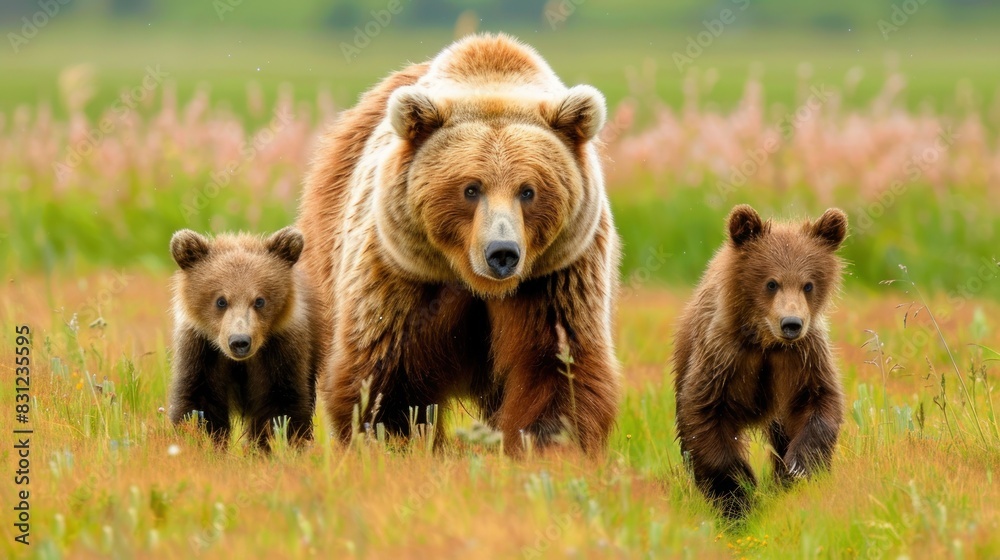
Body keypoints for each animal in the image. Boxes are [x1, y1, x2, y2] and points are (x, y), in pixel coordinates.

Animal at [167, 226, 320, 451]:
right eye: (221, 301)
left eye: (259, 300)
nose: (240, 342)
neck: (240, 363)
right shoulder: (201, 351)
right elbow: (198, 404)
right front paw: (200, 441)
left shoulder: (281, 351)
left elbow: (281, 406)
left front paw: (274, 445)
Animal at [296, 33, 621, 455]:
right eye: (470, 188)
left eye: (528, 190)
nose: (502, 253)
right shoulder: (402, 273)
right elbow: (387, 371)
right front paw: (394, 441)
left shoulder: (558, 276)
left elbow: (557, 364)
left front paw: (550, 443)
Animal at [672, 204, 848, 518]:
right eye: (771, 283)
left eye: (808, 285)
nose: (792, 324)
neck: (765, 341)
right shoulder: (723, 357)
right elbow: (704, 415)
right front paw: (738, 493)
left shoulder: (803, 357)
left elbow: (819, 400)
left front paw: (799, 467)